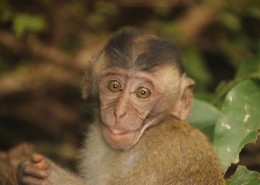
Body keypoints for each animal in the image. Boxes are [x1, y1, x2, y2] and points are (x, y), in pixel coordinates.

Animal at [16, 28, 224, 184]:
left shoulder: (160, 154)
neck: (150, 131)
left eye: (143, 93)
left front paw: (48, 176)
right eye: (114, 86)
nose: (119, 112)